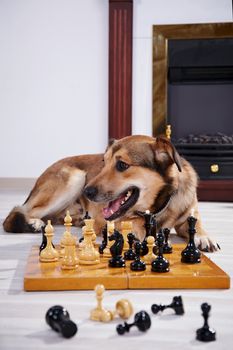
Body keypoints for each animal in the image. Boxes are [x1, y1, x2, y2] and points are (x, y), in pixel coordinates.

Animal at [3, 135, 218, 252]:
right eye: (103, 162)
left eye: (122, 165)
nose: (87, 192)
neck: (159, 205)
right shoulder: (112, 221)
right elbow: (132, 223)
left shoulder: (188, 214)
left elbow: (195, 224)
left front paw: (204, 237)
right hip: (74, 178)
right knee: (18, 212)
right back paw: (32, 223)